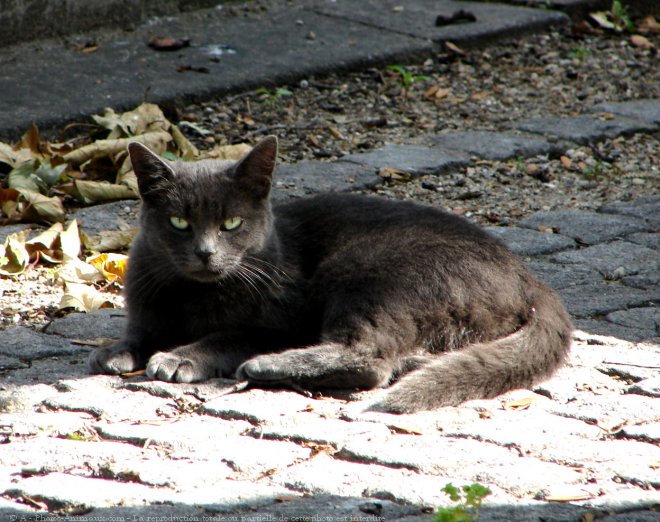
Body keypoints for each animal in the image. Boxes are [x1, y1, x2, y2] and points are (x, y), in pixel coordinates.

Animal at [87, 136, 572, 412]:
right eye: (179, 223)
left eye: (232, 224)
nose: (205, 253)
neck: (193, 295)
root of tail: (532, 280)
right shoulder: (147, 297)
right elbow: (140, 331)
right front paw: (115, 351)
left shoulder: (284, 321)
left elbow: (226, 336)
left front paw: (179, 357)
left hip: (368, 268)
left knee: (372, 360)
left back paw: (268, 367)